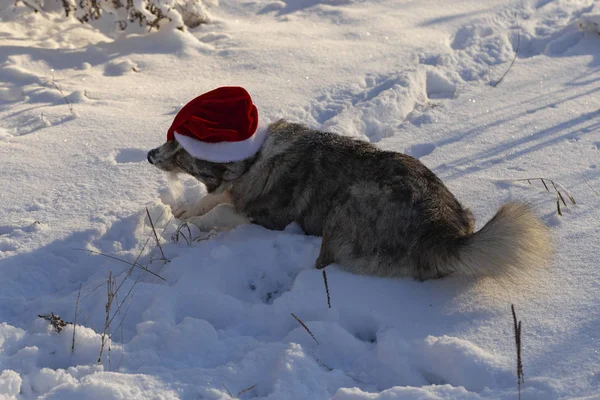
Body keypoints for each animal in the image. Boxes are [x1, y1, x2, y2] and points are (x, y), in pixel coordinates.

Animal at [148, 119, 552, 282]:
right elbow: (212, 200)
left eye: (180, 149)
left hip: (351, 200)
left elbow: (222, 211)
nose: (149, 155)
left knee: (324, 262)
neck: (253, 158)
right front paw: (184, 211)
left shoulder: (268, 217)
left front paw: (191, 227)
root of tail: (443, 233)